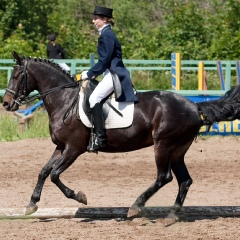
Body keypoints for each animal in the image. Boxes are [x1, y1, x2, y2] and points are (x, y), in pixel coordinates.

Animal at [2, 51, 240, 219]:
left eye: (17, 76)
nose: (6, 104)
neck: (64, 100)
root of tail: (193, 106)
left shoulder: (73, 149)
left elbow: (54, 175)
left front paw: (80, 197)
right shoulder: (61, 147)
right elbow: (43, 171)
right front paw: (31, 204)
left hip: (163, 145)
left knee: (164, 177)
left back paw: (136, 206)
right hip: (177, 149)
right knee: (184, 180)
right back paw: (171, 216)